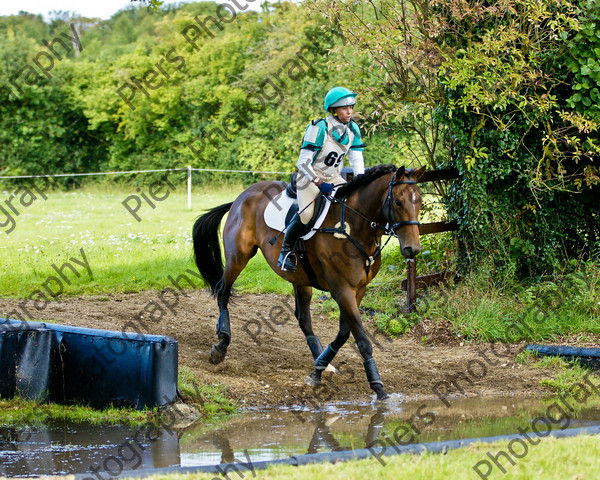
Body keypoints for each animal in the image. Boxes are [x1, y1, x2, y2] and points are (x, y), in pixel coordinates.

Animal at [195, 163, 424, 400]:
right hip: (238, 257)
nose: (413, 249)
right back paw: (221, 346)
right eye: (398, 202)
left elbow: (344, 333)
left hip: (300, 279)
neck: (352, 227)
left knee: (303, 319)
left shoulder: (358, 290)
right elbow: (362, 339)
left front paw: (317, 371)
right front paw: (378, 387)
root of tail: (242, 196)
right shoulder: (342, 290)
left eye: (419, 202)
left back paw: (321, 362)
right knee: (223, 291)